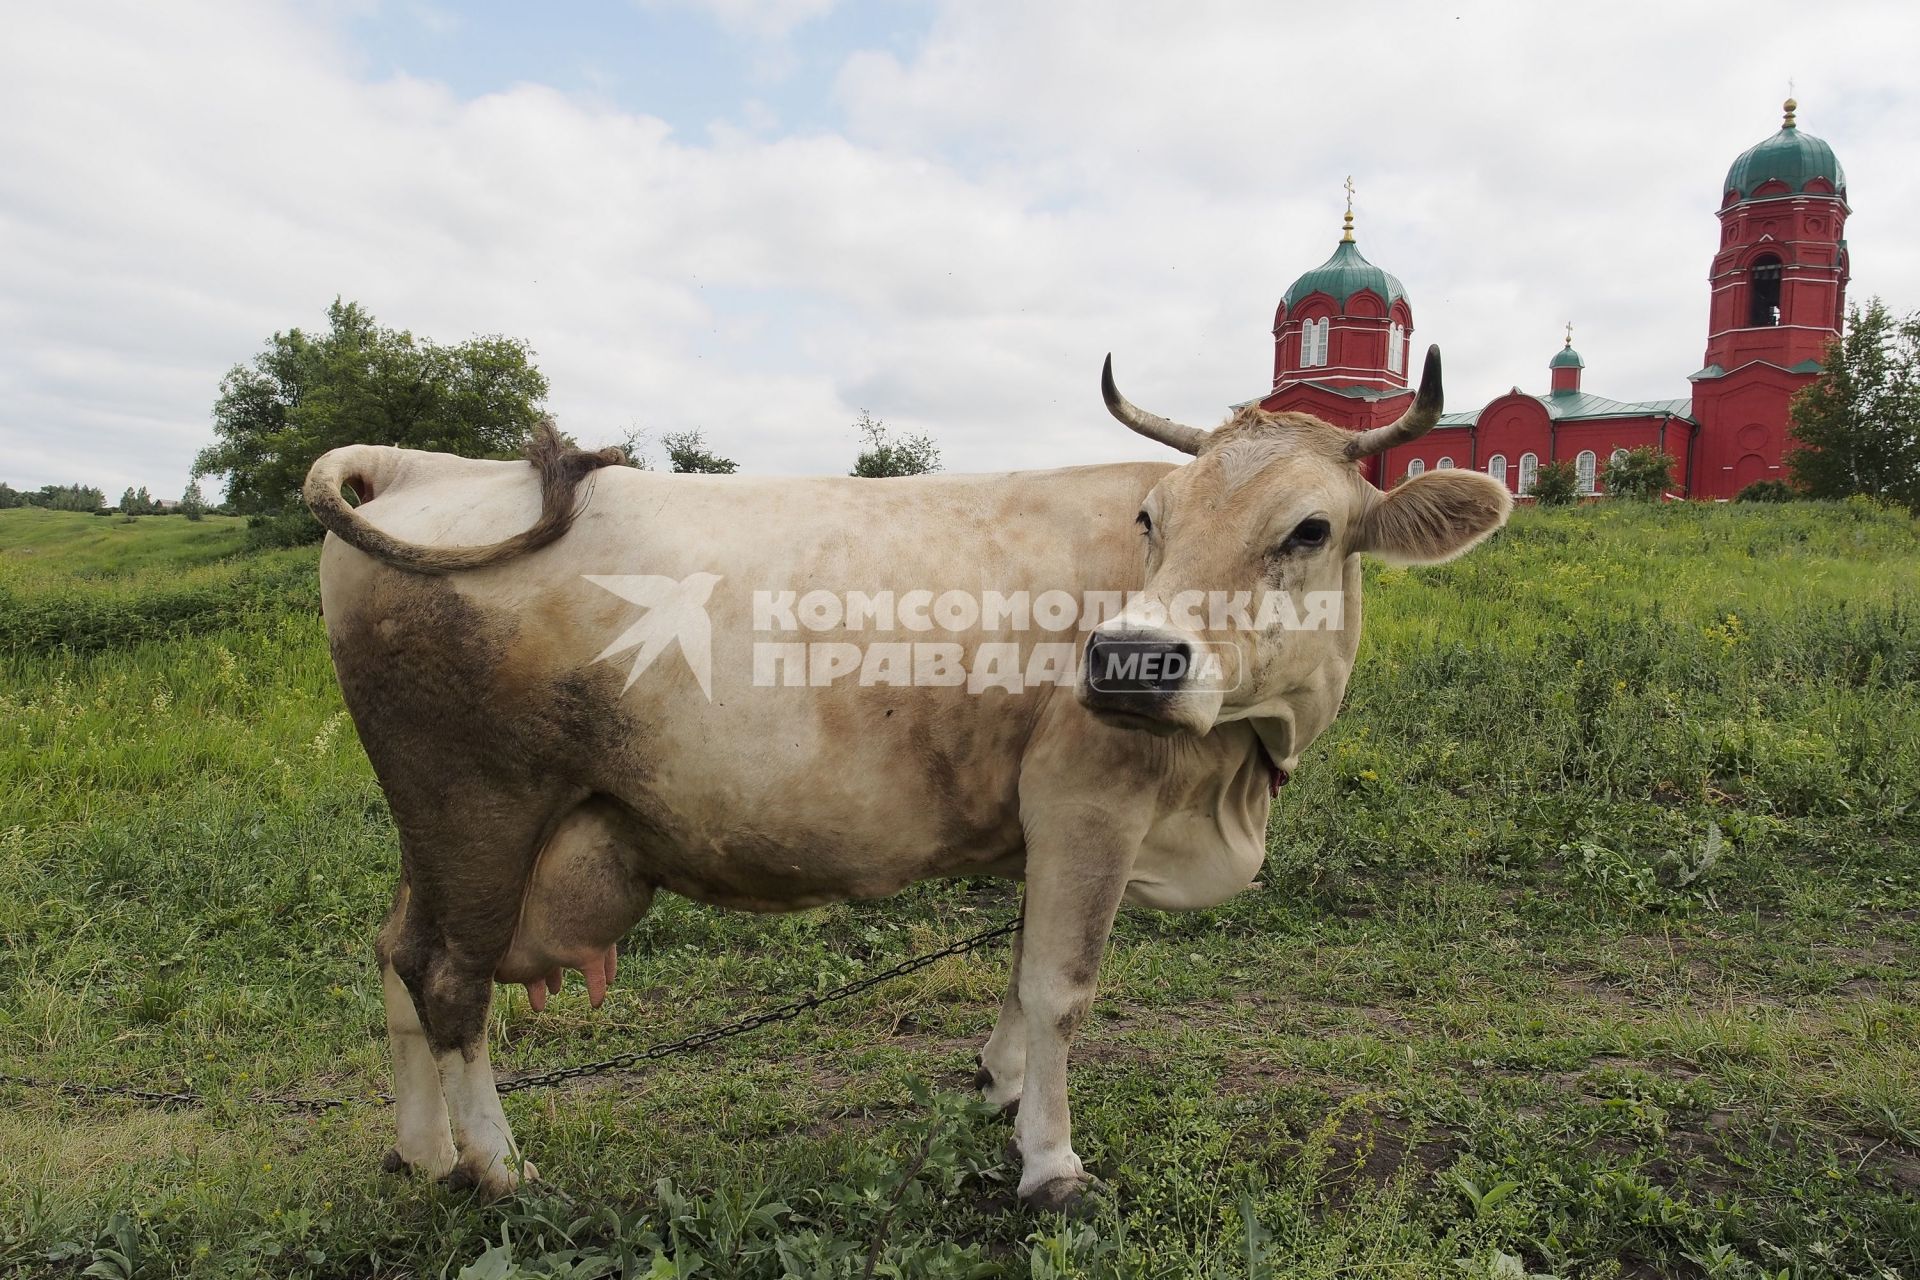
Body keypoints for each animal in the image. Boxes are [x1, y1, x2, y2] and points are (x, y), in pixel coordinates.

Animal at [307, 347, 1505, 1212]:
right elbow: (1061, 985)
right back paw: (500, 1166)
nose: (1130, 658)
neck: (1238, 777)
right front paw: (1052, 1166)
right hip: (478, 809)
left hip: (440, 831)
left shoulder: (1046, 828)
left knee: (398, 951)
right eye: (1154, 520)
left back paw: (424, 1153)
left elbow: (1019, 968)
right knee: (452, 981)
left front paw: (1001, 1088)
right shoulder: (1088, 802)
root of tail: (436, 466)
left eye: (1310, 528)